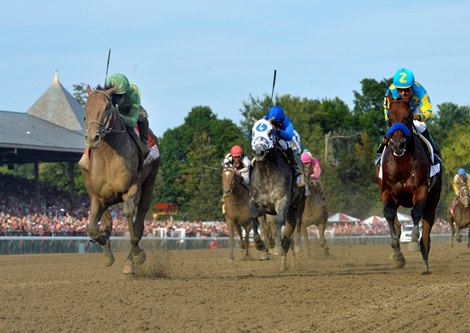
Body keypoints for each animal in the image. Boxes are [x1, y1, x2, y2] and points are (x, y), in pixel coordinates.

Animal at [81, 84, 161, 274]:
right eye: (86, 108)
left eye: (107, 107)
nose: (93, 138)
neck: (109, 155)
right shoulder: (98, 197)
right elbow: (93, 229)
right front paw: (106, 251)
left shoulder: (131, 189)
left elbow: (130, 218)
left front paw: (138, 255)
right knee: (108, 221)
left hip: (149, 183)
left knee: (138, 225)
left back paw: (130, 262)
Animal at [250, 118, 304, 272]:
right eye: (253, 132)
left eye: (270, 132)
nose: (259, 152)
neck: (267, 173)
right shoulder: (255, 201)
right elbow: (255, 219)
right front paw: (260, 244)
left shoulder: (282, 200)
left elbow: (278, 221)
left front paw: (277, 248)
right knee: (266, 225)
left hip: (297, 204)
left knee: (293, 227)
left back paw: (289, 251)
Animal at [376, 92, 442, 272]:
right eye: (390, 116)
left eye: (409, 116)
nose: (398, 144)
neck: (402, 163)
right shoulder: (387, 192)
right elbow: (389, 214)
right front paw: (397, 254)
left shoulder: (421, 190)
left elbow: (415, 213)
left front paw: (413, 241)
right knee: (396, 221)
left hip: (433, 199)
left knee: (427, 228)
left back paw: (425, 259)